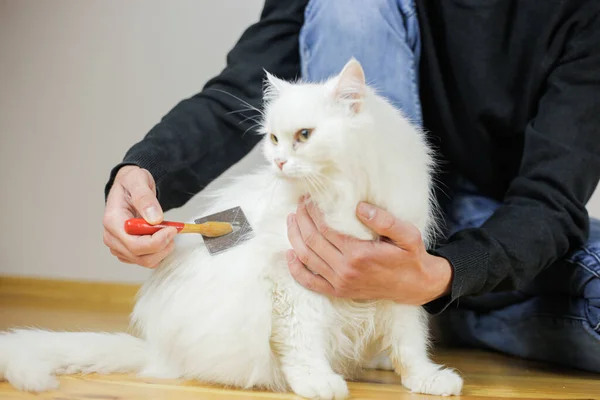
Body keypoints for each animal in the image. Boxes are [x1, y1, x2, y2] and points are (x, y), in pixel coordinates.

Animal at [0, 57, 464, 398]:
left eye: (305, 135)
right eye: (273, 139)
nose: (279, 162)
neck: (340, 195)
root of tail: (157, 352)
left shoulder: (396, 272)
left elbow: (409, 344)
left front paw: (427, 379)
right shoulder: (292, 284)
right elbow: (303, 342)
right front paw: (317, 383)